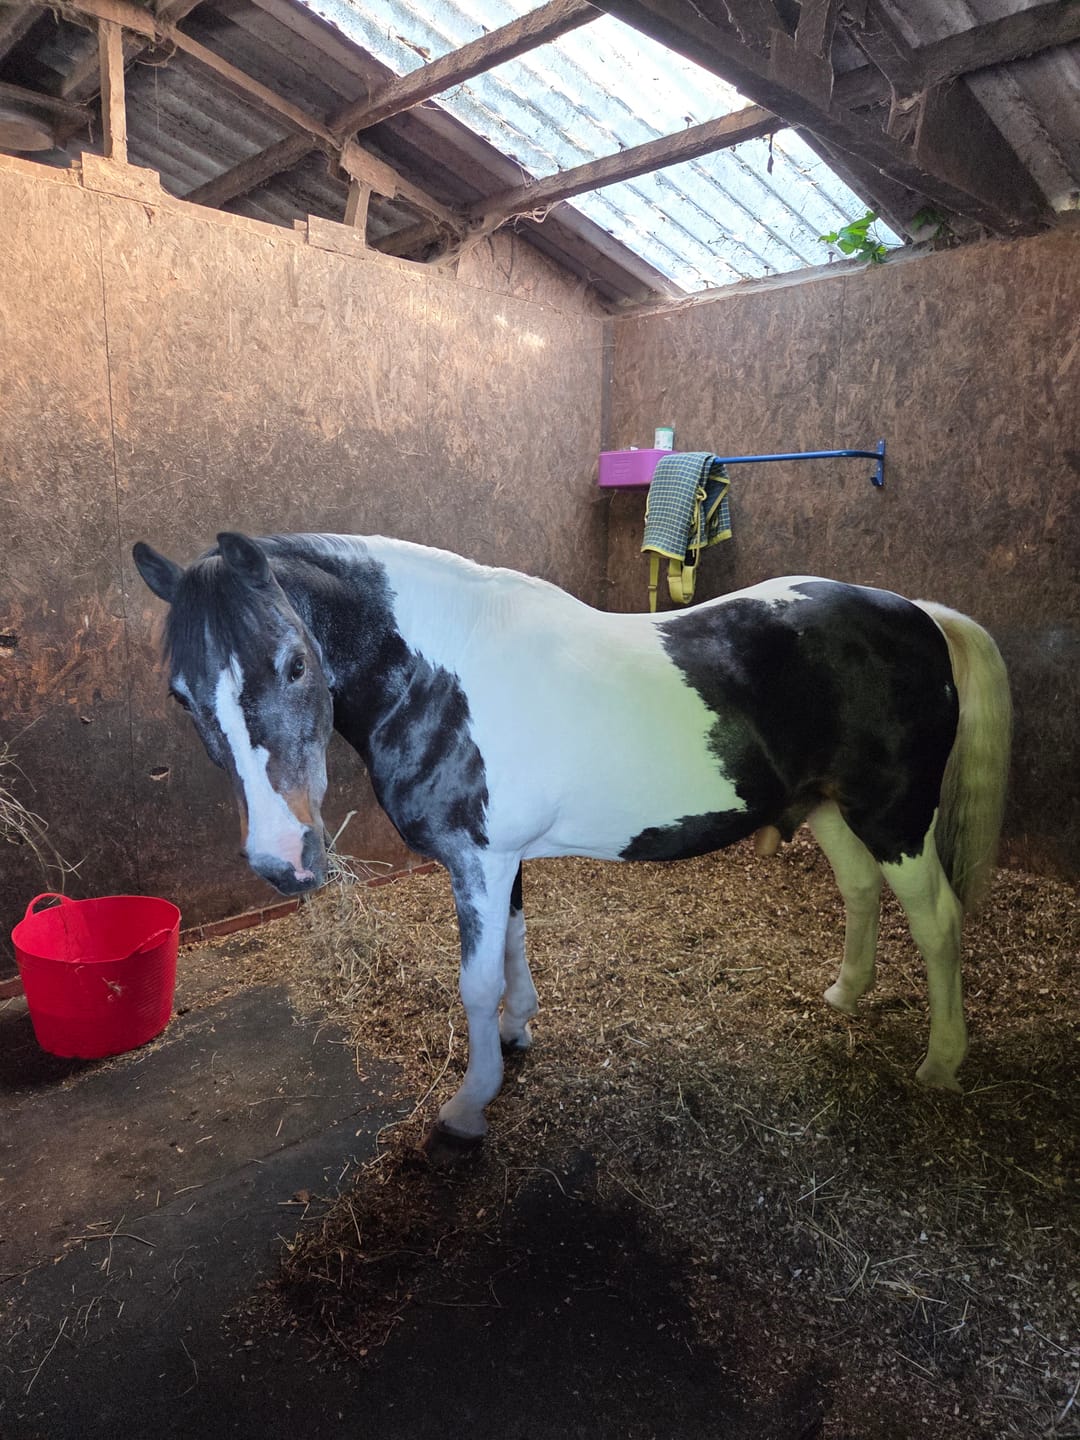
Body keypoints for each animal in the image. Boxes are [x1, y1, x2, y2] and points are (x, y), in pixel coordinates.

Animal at [133, 531, 1012, 1147]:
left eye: (292, 664)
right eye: (179, 694)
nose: (281, 859)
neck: (441, 674)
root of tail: (919, 614)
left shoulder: (478, 859)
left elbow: (476, 982)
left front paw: (468, 1106)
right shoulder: (499, 861)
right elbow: (514, 946)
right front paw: (519, 1032)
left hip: (895, 816)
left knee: (938, 921)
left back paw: (940, 1062)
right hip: (827, 806)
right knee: (860, 889)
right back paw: (844, 994)